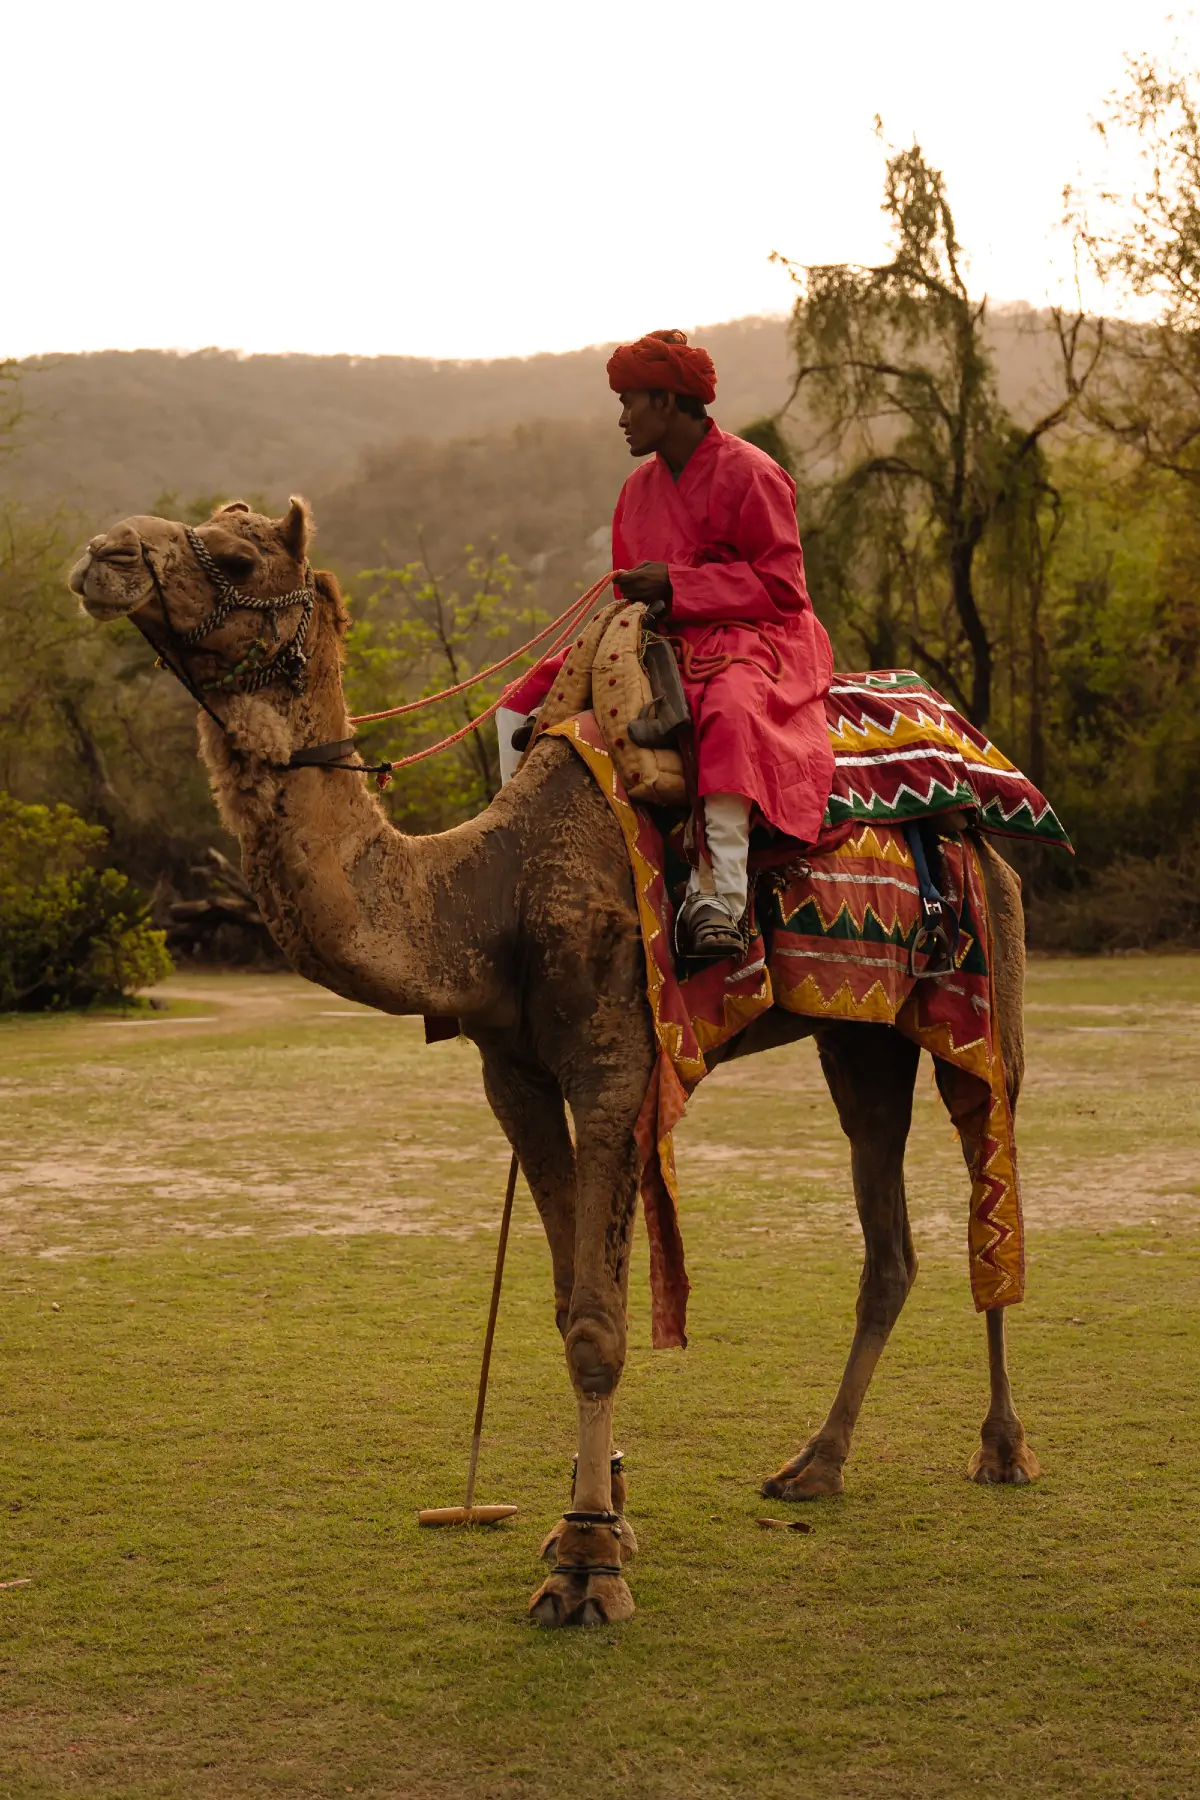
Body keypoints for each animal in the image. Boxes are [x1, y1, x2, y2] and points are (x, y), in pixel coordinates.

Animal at [70, 500, 1043, 1627]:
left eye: (232, 553)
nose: (103, 554)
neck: (489, 887)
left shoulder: (615, 1063)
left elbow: (597, 1322)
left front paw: (586, 1562)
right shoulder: (515, 1076)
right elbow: (562, 1292)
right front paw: (602, 1515)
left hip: (984, 998)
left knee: (992, 1181)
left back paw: (1002, 1448)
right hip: (861, 1036)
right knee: (888, 1243)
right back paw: (815, 1464)